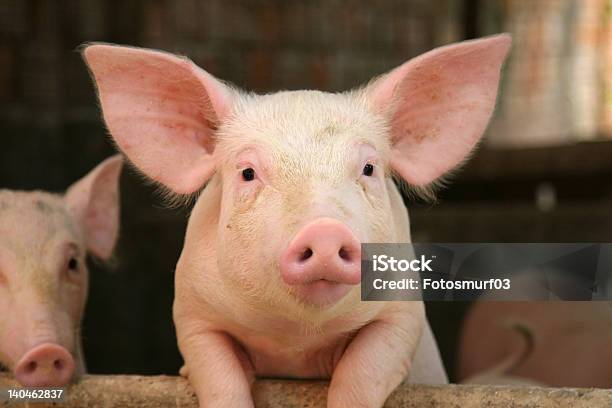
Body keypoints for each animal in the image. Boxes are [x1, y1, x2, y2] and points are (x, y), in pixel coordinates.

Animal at [83, 35, 510, 408]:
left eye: (369, 168)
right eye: (248, 173)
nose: (324, 231)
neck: (296, 340)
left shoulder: (403, 313)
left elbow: (363, 372)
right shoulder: (192, 312)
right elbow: (218, 375)